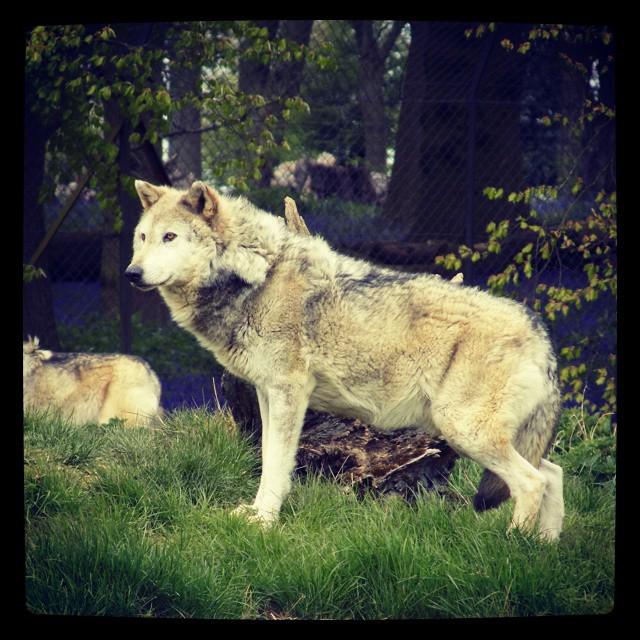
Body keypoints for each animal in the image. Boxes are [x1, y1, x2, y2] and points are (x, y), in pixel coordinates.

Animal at [126, 180, 565, 541]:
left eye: (170, 237)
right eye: (143, 237)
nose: (132, 273)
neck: (259, 275)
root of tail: (541, 336)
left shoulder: (289, 393)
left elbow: (277, 463)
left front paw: (265, 522)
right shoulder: (268, 394)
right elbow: (268, 458)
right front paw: (254, 513)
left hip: (464, 429)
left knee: (532, 482)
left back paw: (514, 547)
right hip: (487, 435)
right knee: (554, 473)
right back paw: (545, 550)